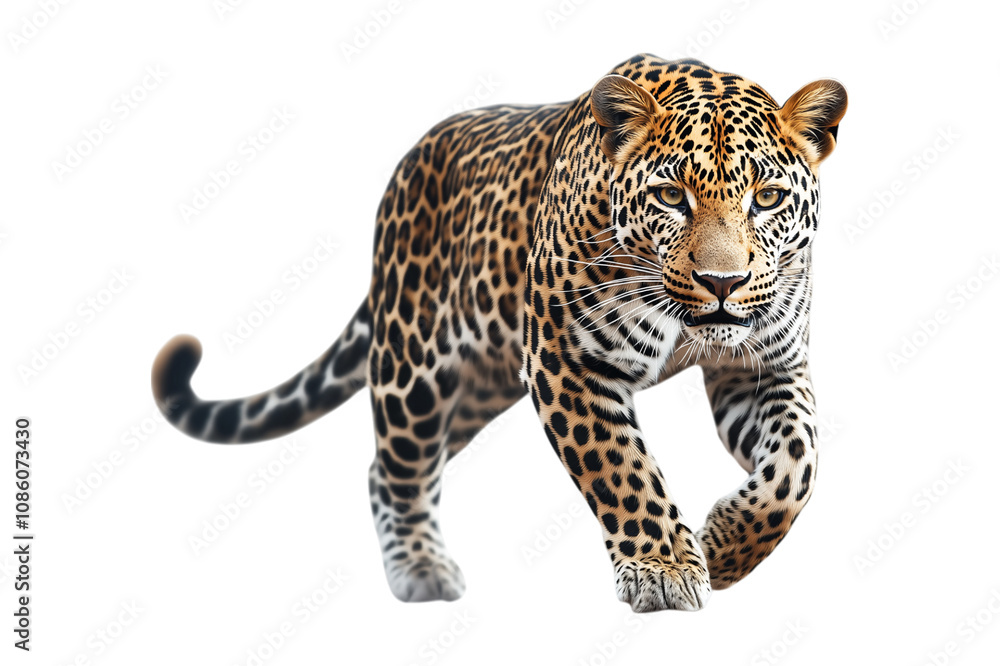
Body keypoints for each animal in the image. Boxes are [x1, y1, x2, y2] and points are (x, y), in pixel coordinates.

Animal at [152, 54, 847, 612]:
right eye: (671, 196)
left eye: (767, 198)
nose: (722, 282)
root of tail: (409, 162)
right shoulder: (568, 363)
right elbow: (623, 468)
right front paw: (664, 569)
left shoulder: (763, 367)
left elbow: (797, 466)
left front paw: (723, 548)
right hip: (414, 371)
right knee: (399, 467)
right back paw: (421, 568)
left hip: (478, 388)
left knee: (393, 467)